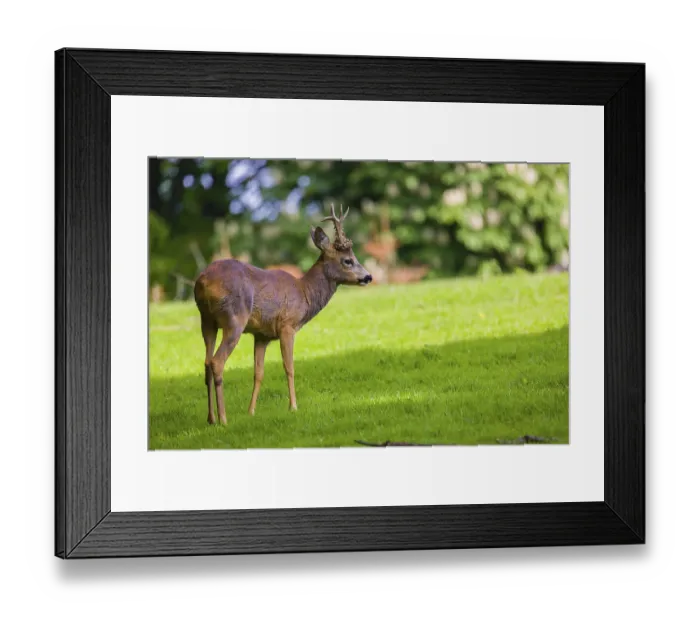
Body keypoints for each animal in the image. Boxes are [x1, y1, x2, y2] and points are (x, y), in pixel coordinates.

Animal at [193, 205, 373, 425]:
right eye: (348, 260)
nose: (368, 276)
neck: (304, 292)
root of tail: (201, 281)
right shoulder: (287, 325)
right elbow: (289, 367)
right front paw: (293, 407)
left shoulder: (261, 335)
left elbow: (258, 373)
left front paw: (251, 411)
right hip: (234, 318)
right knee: (217, 362)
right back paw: (224, 419)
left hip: (206, 320)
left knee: (206, 363)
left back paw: (211, 418)